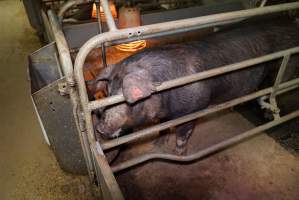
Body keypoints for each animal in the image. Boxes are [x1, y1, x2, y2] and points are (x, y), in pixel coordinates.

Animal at [94, 16, 299, 154]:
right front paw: (158, 144)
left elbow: (183, 134)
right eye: (108, 92)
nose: (100, 128)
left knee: (275, 90)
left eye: (128, 99)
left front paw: (179, 154)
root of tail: (292, 23)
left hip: (287, 65)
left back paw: (268, 114)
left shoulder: (193, 110)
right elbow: (162, 127)